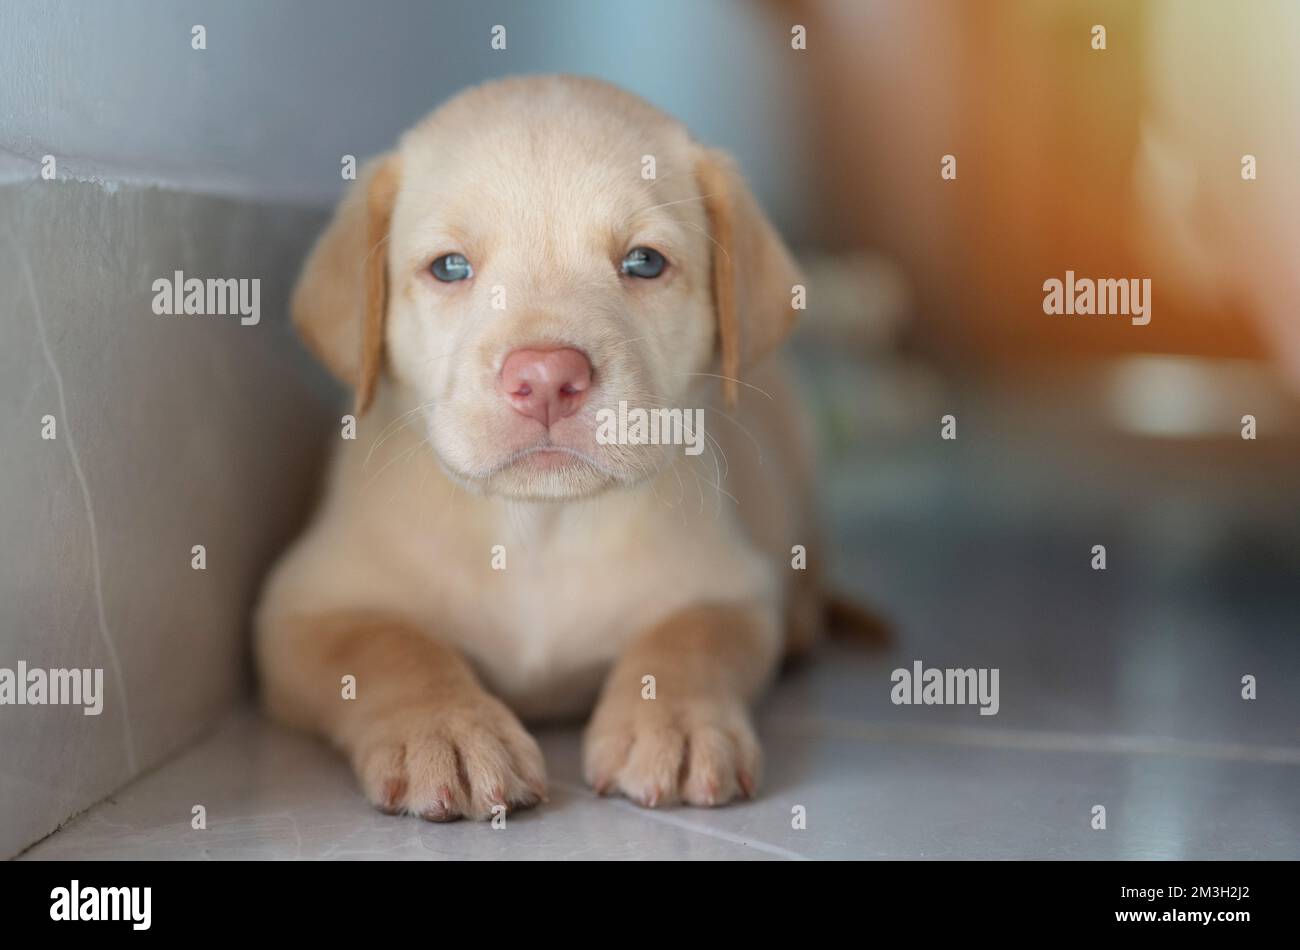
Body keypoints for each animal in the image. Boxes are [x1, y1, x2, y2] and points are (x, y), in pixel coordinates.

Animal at [254, 74, 832, 821]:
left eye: (644, 262)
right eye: (450, 267)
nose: (548, 377)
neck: (539, 527)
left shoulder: (728, 588)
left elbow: (690, 637)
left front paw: (675, 723)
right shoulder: (303, 608)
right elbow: (389, 646)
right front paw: (446, 728)